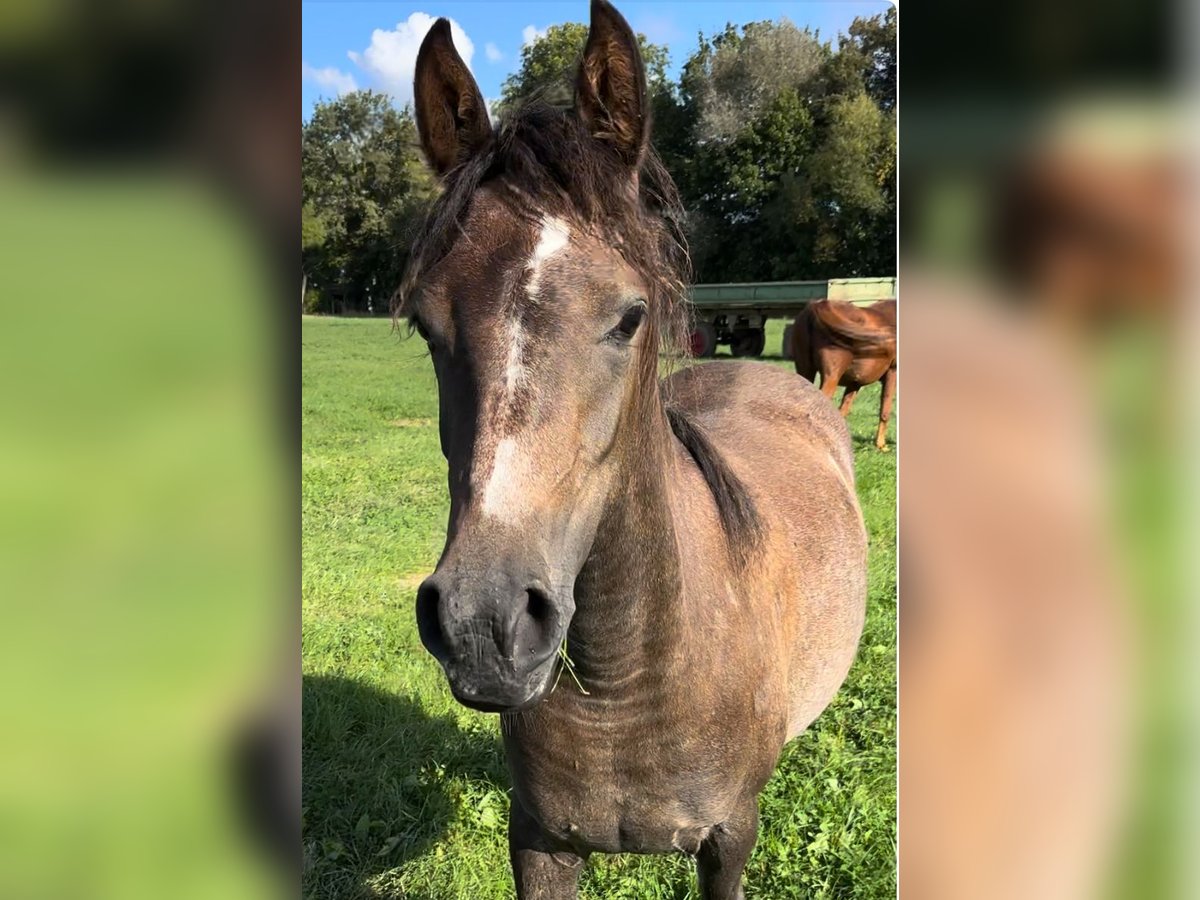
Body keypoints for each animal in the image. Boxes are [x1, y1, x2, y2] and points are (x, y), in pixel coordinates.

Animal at [398, 3, 868, 897]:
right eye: (423, 324)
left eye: (630, 316)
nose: (485, 622)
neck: (629, 684)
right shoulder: (539, 843)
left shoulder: (730, 840)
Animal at [792, 300, 897, 451]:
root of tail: (817, 305)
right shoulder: (892, 372)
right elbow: (885, 410)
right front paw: (881, 445)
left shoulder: (855, 382)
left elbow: (843, 410)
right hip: (830, 378)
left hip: (805, 371)